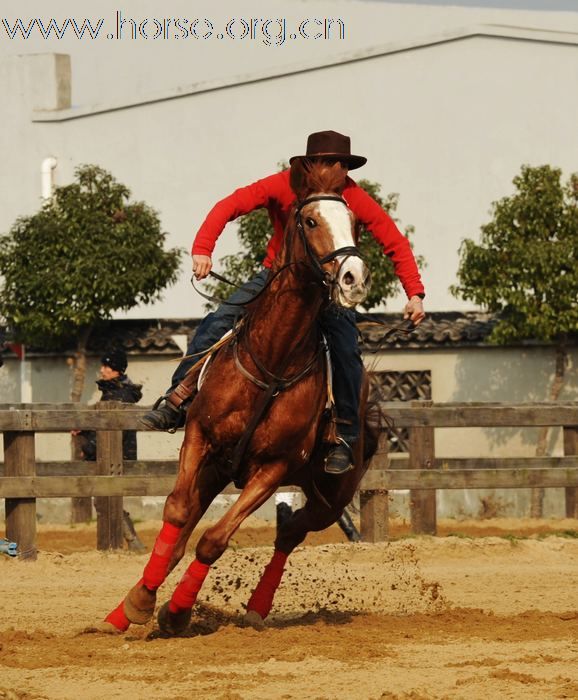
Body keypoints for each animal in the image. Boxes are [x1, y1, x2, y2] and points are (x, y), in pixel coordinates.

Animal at [101, 159, 376, 636]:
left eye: (356, 222)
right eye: (309, 220)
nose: (352, 278)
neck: (272, 362)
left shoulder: (273, 468)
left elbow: (213, 541)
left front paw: (176, 613)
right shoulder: (200, 437)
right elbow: (176, 514)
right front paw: (137, 604)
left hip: (331, 494)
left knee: (292, 532)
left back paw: (256, 607)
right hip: (217, 471)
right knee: (189, 534)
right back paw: (124, 610)